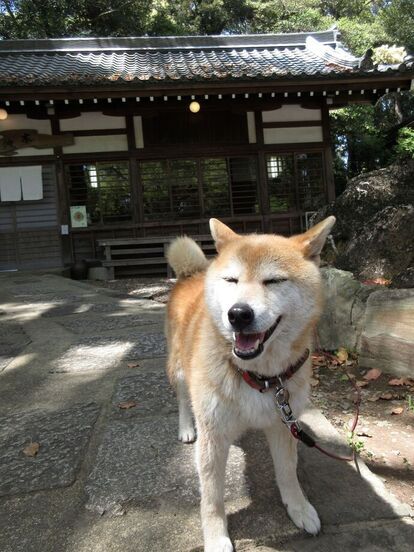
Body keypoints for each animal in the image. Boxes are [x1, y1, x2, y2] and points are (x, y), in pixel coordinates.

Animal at [167, 218, 334, 548]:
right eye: (231, 280)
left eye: (274, 281)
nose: (238, 314)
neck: (261, 378)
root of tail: (191, 275)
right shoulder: (213, 437)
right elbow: (212, 498)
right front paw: (216, 538)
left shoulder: (284, 424)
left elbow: (288, 473)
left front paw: (299, 508)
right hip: (178, 368)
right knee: (182, 398)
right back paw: (186, 427)